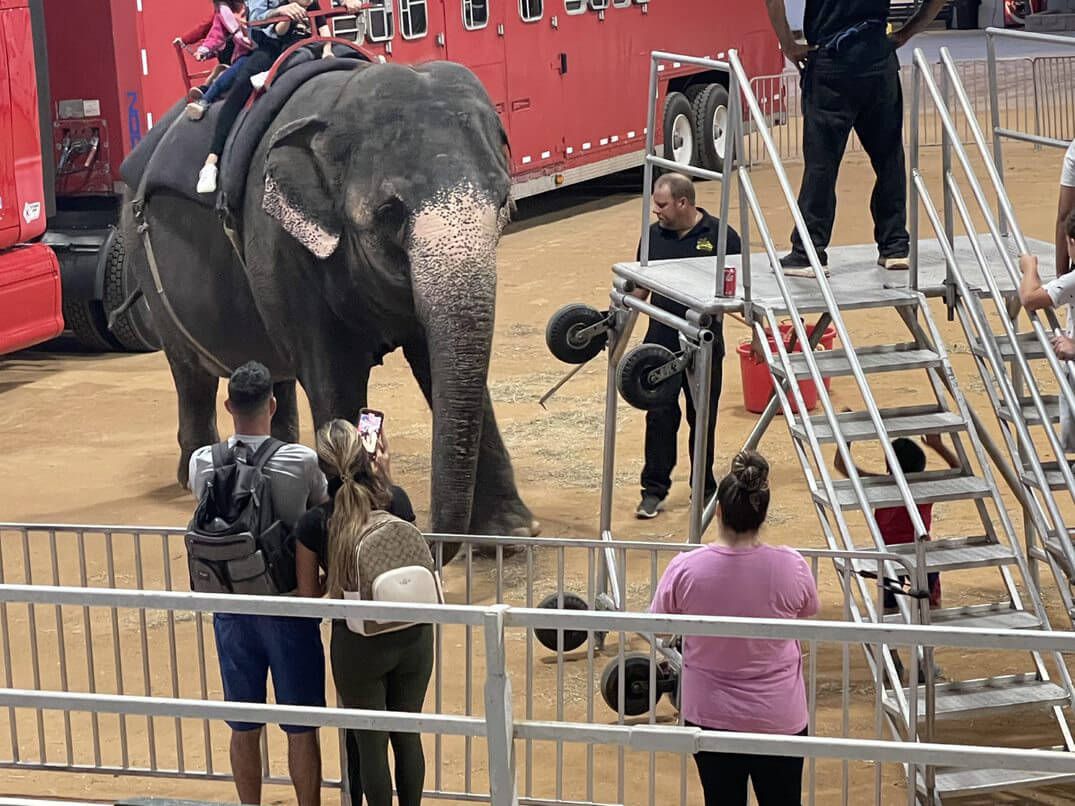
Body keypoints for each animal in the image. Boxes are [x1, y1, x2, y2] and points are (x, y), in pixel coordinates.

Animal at [123, 61, 537, 554]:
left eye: (503, 202)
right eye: (389, 212)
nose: (433, 532)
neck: (340, 101)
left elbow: (435, 364)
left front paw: (510, 537)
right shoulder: (279, 245)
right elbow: (334, 376)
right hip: (148, 271)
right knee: (192, 376)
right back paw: (194, 474)